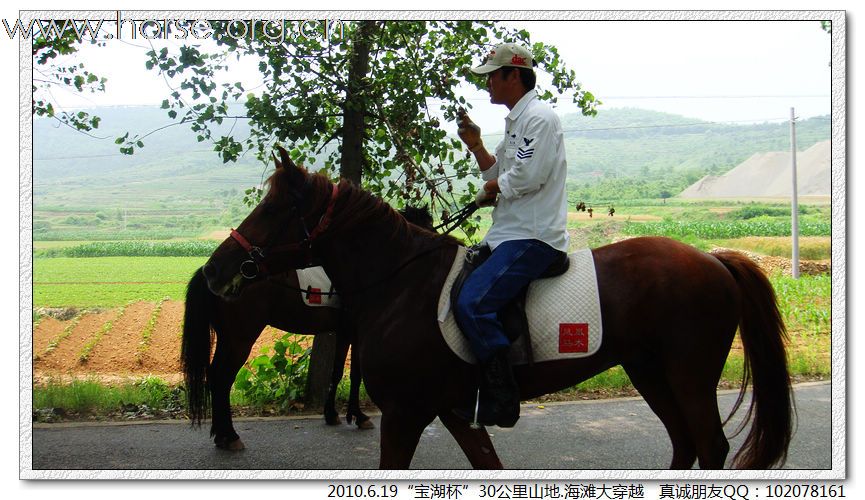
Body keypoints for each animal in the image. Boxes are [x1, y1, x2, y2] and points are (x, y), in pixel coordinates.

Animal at [199, 148, 792, 468]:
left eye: (273, 209)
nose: (215, 271)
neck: (402, 283)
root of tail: (713, 259)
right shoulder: (454, 411)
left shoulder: (407, 412)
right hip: (650, 372)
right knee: (685, 443)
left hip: (688, 375)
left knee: (709, 445)